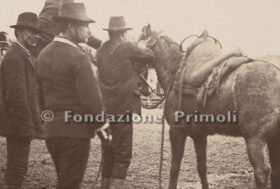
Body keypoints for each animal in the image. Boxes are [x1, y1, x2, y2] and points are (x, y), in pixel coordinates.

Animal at [139, 23, 280, 189]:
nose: (143, 90)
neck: (175, 72)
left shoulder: (176, 131)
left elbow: (174, 168)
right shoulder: (199, 134)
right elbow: (202, 168)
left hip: (255, 139)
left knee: (262, 172)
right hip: (274, 138)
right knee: (276, 171)